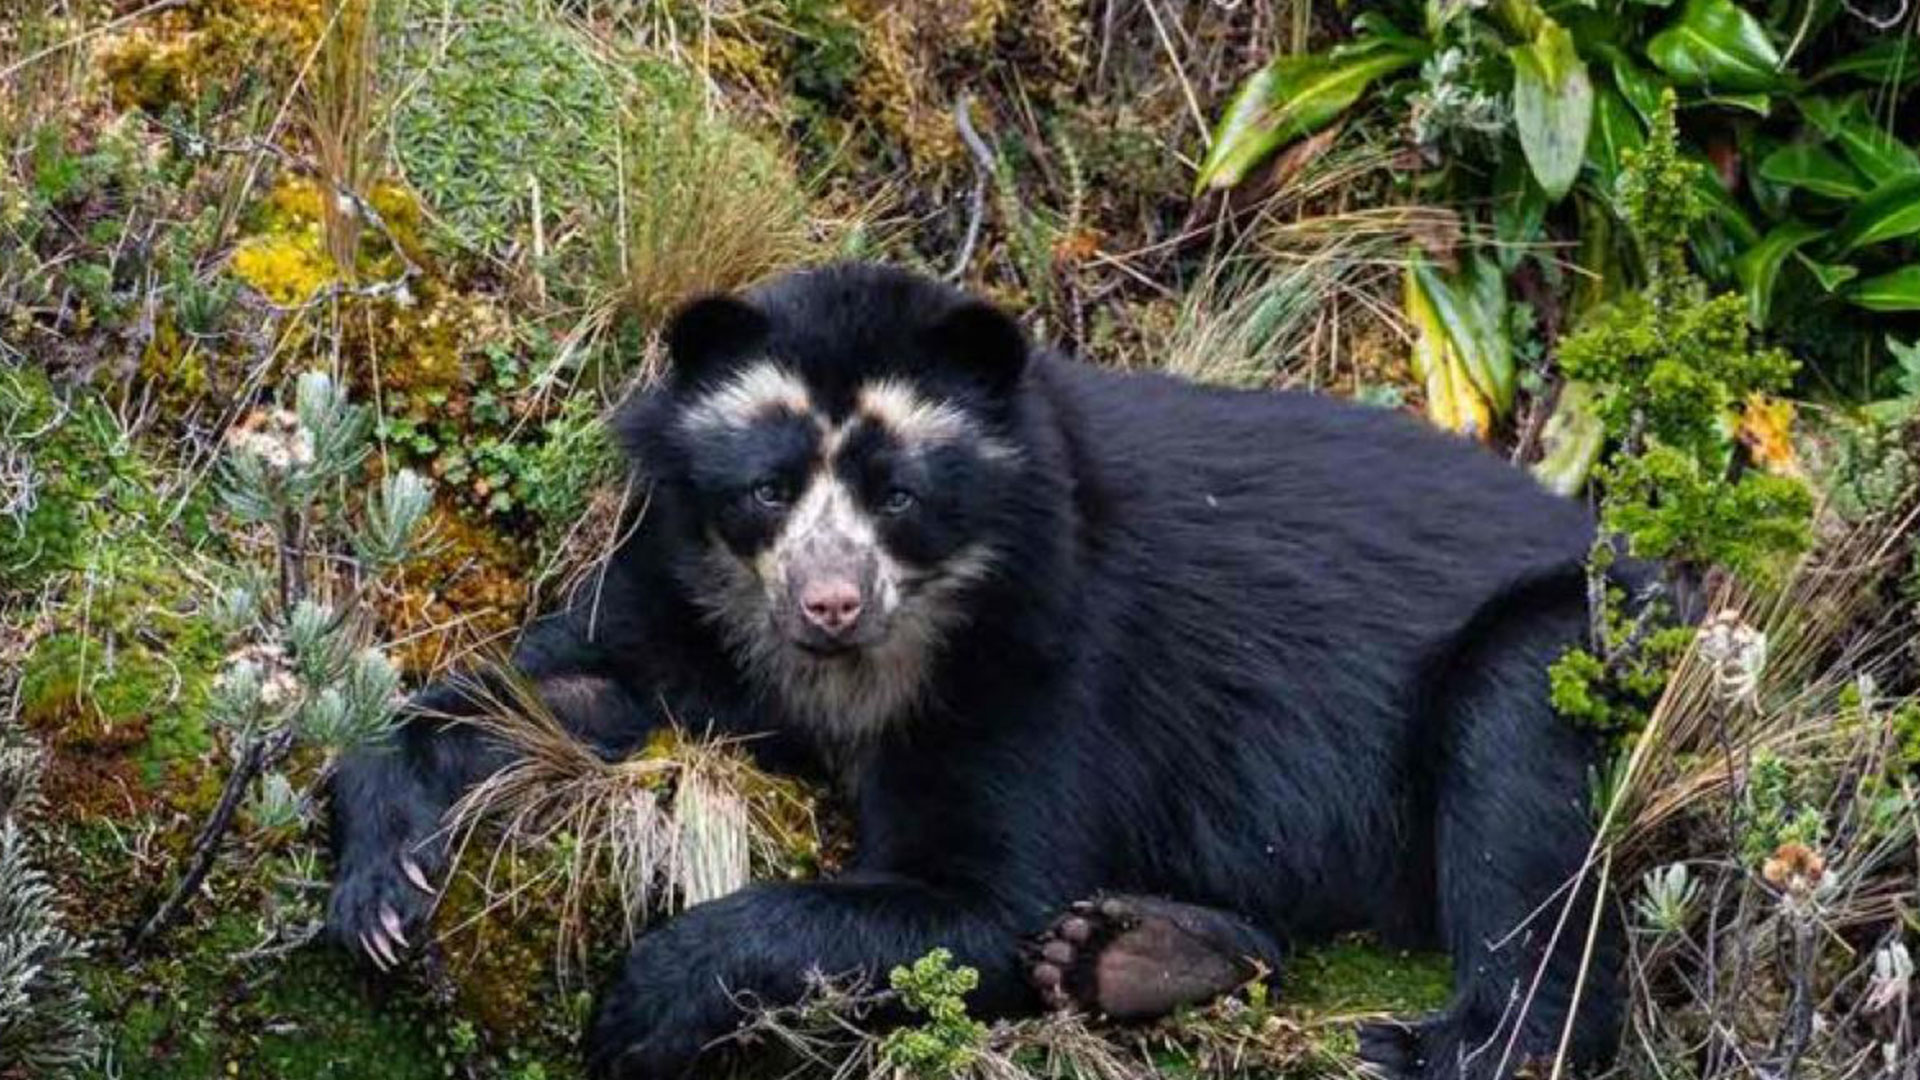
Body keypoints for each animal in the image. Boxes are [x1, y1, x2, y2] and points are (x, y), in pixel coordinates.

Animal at [327, 261, 1625, 1080]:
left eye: (898, 497)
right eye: (767, 490)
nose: (828, 603)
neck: (876, 658)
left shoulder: (1045, 651)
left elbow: (981, 897)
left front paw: (642, 1005)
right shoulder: (691, 599)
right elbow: (565, 692)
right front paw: (382, 891)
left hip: (1569, 644)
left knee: (1521, 811)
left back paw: (1443, 1043)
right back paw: (1133, 955)